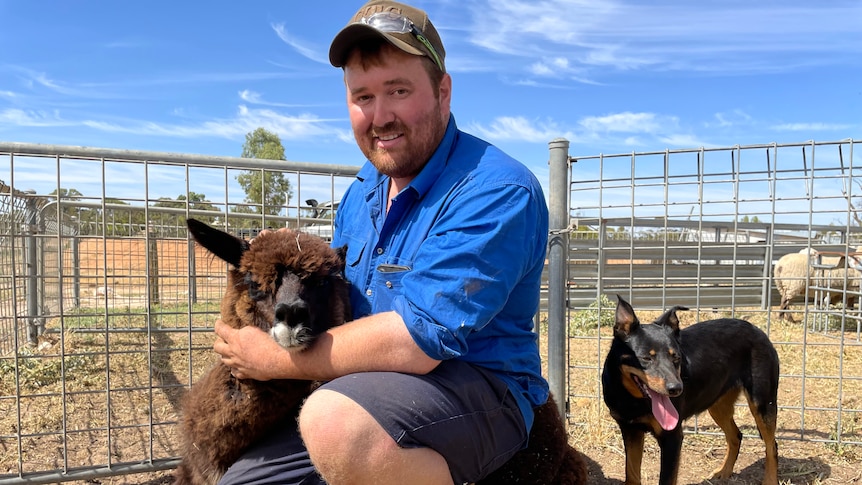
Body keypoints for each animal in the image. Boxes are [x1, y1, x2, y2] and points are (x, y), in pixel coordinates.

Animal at [604, 294, 780, 484]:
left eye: (676, 357)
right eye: (646, 358)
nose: (676, 388)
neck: (632, 399)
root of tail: (757, 330)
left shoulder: (672, 437)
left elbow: (666, 479)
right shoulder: (630, 431)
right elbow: (632, 474)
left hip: (762, 404)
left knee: (772, 445)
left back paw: (770, 480)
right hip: (718, 404)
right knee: (736, 436)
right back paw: (724, 471)